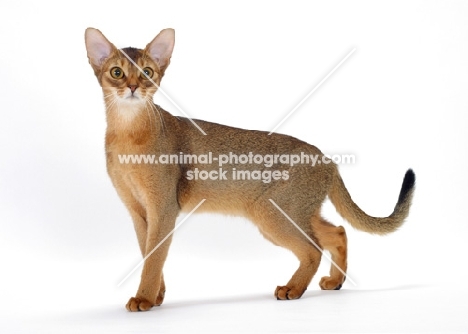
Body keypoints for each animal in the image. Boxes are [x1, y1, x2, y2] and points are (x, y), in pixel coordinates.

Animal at [86, 27, 414, 312]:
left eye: (147, 72)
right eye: (117, 72)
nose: (133, 87)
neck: (129, 135)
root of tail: (327, 160)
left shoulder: (163, 208)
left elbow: (154, 259)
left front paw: (143, 298)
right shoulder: (139, 212)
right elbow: (149, 255)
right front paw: (156, 296)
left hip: (272, 213)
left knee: (314, 247)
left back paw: (293, 289)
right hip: (294, 212)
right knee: (338, 232)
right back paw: (335, 282)